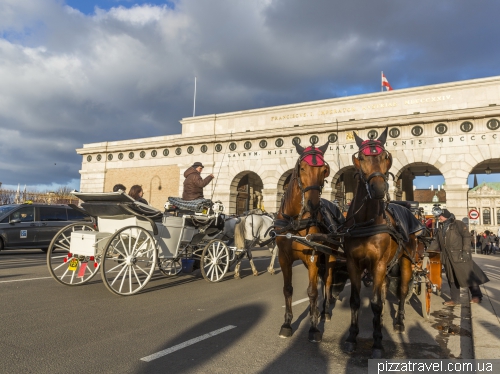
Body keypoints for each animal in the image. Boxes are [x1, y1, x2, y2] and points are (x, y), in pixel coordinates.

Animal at [274, 141, 348, 342]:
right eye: (302, 168)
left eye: (324, 170)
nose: (313, 205)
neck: (294, 220)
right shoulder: (284, 258)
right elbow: (287, 289)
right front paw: (286, 324)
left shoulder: (313, 256)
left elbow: (312, 291)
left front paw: (314, 328)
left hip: (330, 254)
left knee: (327, 281)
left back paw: (324, 312)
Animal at [344, 129, 418, 360]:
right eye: (361, 157)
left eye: (386, 157)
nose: (378, 188)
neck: (366, 222)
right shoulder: (353, 263)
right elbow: (356, 301)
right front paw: (352, 338)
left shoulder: (377, 264)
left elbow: (376, 303)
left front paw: (377, 343)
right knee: (385, 293)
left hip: (405, 262)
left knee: (402, 291)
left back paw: (399, 322)